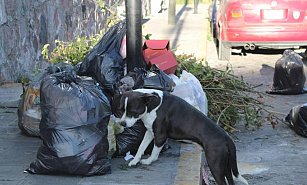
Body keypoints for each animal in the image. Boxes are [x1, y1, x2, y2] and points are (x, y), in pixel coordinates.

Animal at [112, 89, 249, 184]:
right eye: (121, 110)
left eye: (133, 112)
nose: (122, 123)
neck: (152, 104)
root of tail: (227, 138)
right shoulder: (150, 132)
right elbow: (141, 147)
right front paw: (135, 161)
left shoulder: (160, 136)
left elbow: (154, 153)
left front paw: (149, 161)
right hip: (226, 166)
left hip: (215, 165)